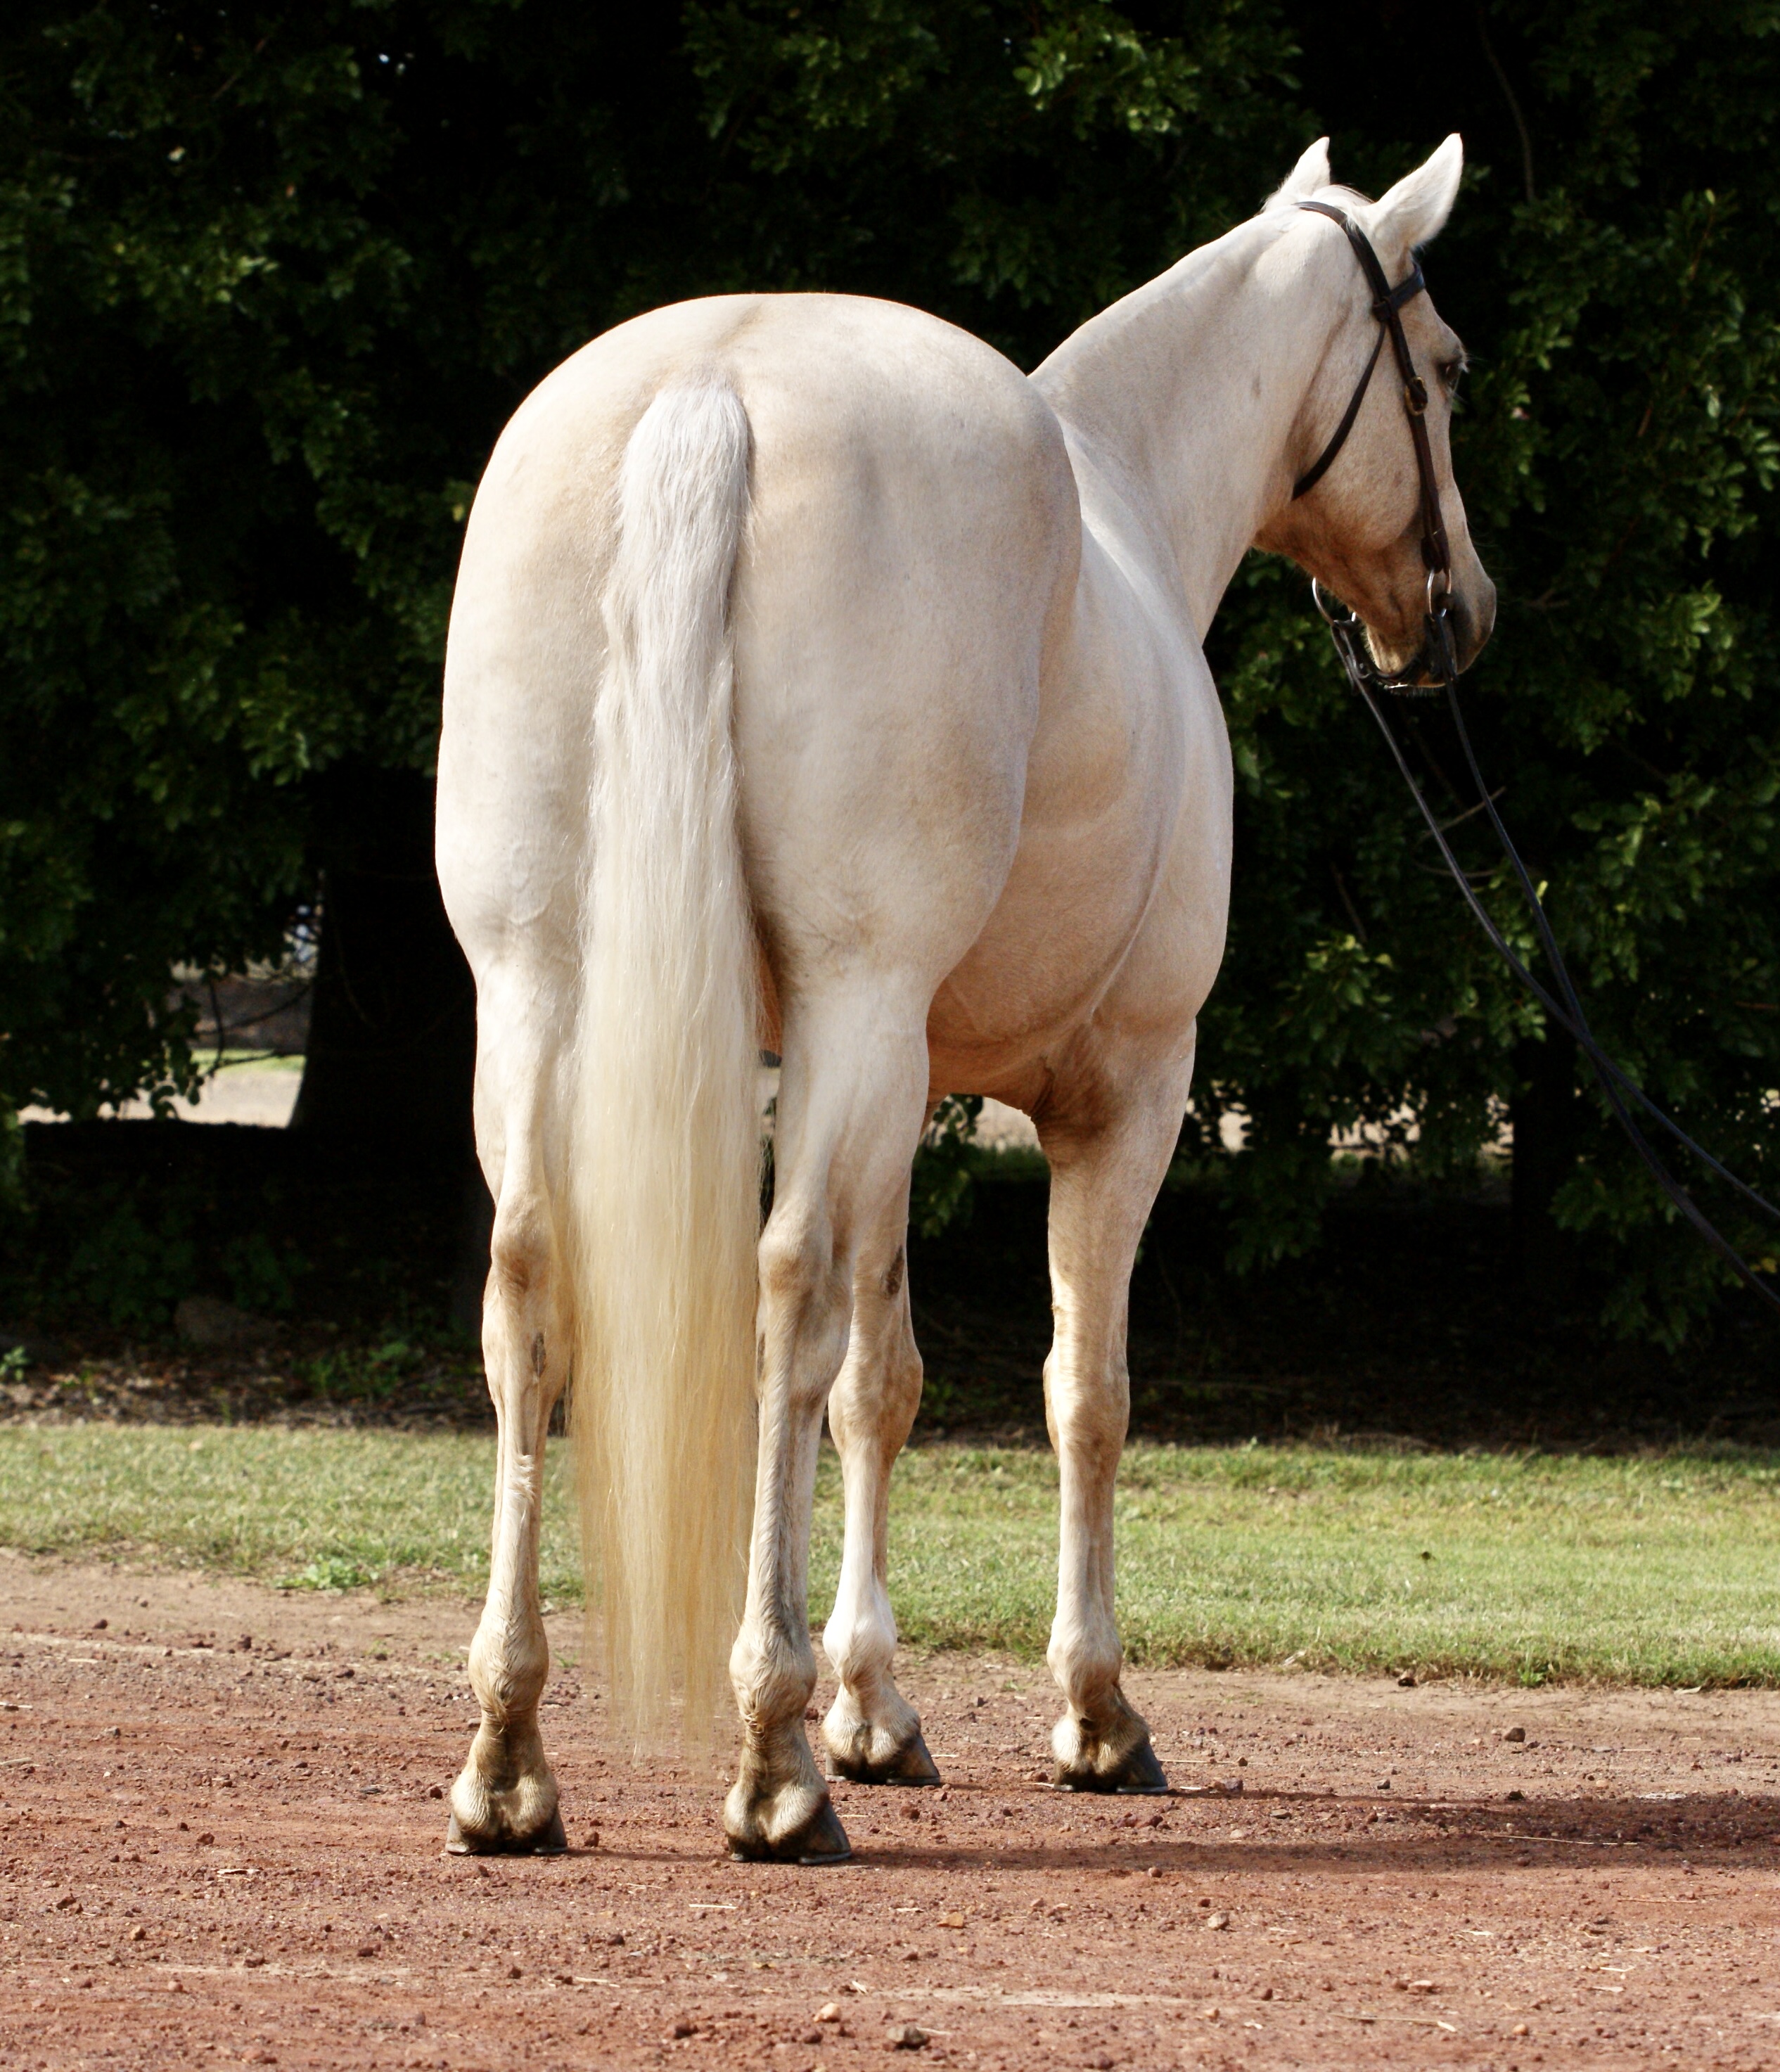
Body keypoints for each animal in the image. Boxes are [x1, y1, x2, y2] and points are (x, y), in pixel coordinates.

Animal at [434, 132, 1495, 1865]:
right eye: (1447, 369)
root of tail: (711, 389)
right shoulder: (1122, 1094)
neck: (1125, 505)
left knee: (529, 1293)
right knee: (783, 1287)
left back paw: (510, 1759)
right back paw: (769, 1766)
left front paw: (875, 1706)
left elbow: (884, 1384)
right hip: (852, 1008)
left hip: (540, 990)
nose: (1454, 609)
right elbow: (1083, 1394)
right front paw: (1090, 1715)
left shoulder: (907, 1081)